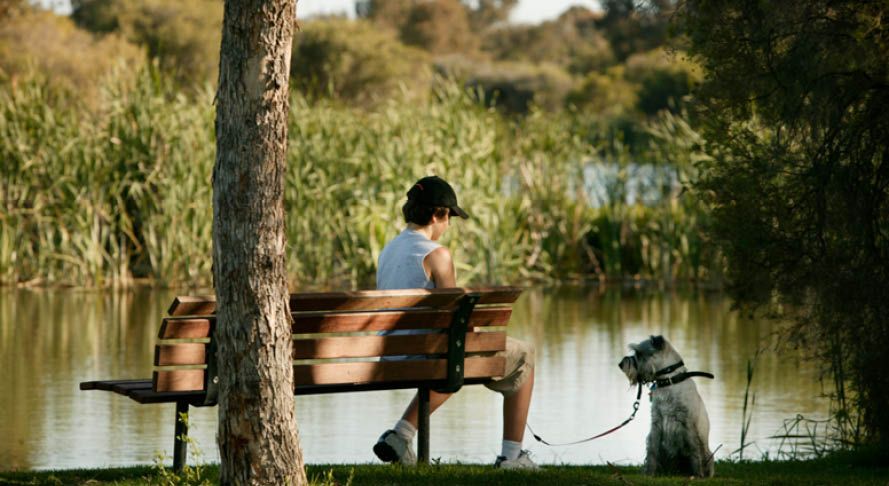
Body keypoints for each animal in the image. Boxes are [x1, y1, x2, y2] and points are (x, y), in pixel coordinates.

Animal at [616, 336, 716, 476]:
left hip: (707, 451)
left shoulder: (687, 424)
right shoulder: (656, 423)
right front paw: (649, 473)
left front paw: (697, 474)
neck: (669, 382)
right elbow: (652, 449)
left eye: (639, 353)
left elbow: (693, 450)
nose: (620, 364)